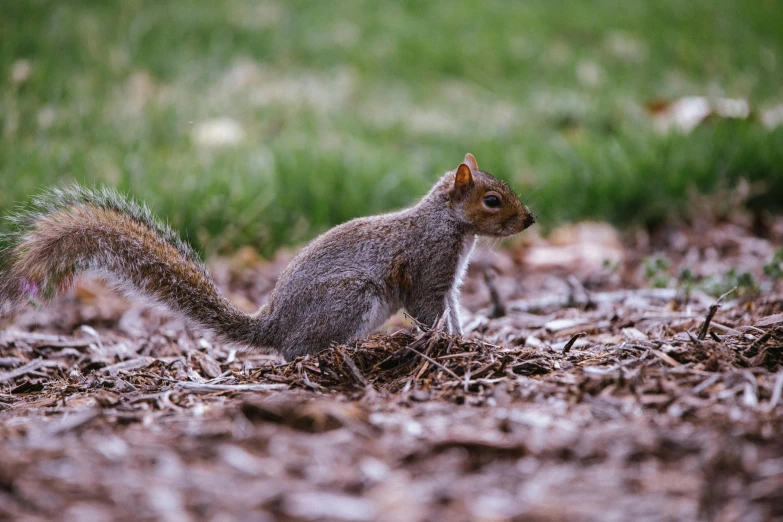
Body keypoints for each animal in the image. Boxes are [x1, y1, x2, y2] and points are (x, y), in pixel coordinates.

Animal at [0, 153, 536, 358]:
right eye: (492, 200)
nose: (529, 219)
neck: (450, 225)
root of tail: (273, 325)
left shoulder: (449, 283)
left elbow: (452, 310)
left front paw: (466, 340)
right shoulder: (426, 269)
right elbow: (428, 311)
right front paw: (444, 345)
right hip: (351, 298)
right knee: (297, 351)